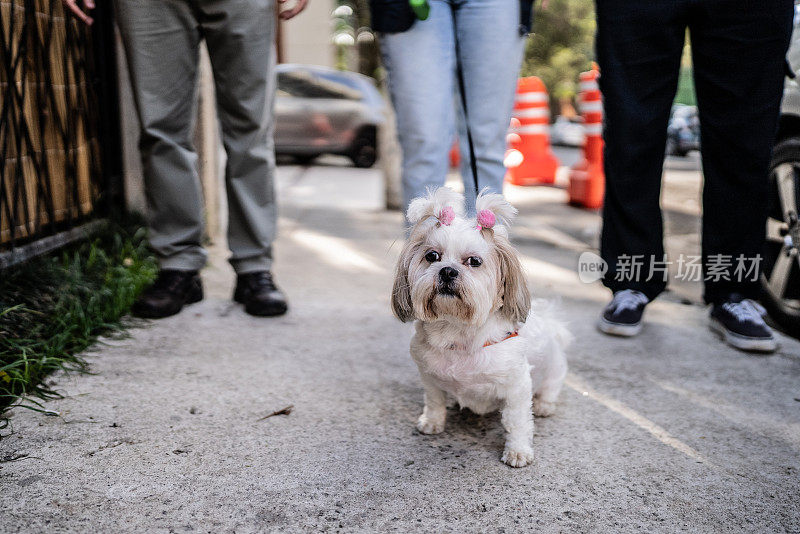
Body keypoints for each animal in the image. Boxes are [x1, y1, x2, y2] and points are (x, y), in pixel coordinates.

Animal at [392, 188, 568, 468]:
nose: (447, 271)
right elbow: (434, 401)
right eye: (432, 256)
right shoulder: (429, 376)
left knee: (551, 387)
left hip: (554, 369)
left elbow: (517, 422)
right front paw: (432, 421)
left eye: (474, 261)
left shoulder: (517, 386)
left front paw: (518, 450)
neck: (457, 331)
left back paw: (544, 405)